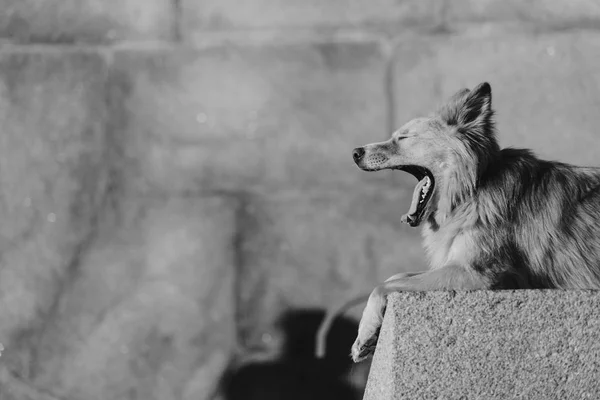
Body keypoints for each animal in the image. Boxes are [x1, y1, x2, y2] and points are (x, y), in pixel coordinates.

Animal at [324, 83, 600, 364]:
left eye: (403, 138)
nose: (355, 153)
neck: (473, 191)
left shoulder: (478, 275)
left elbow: (383, 285)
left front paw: (365, 334)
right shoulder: (455, 263)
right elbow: (396, 275)